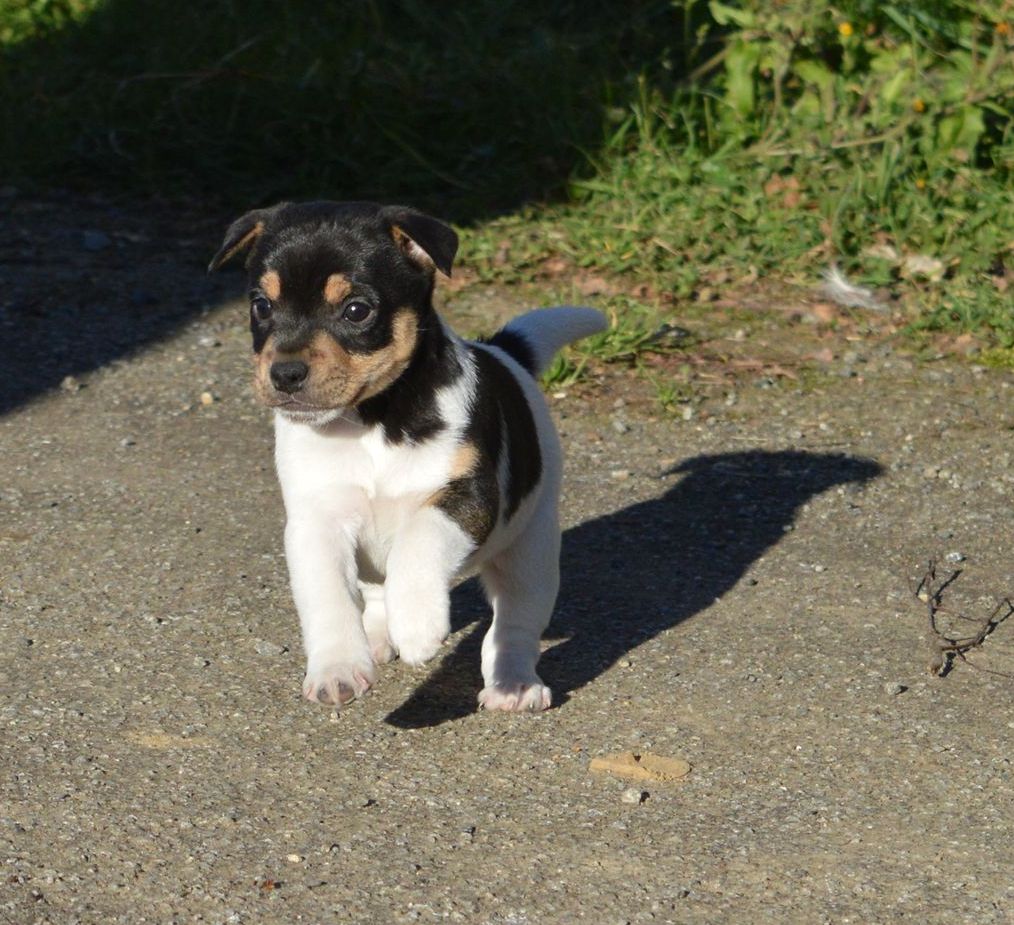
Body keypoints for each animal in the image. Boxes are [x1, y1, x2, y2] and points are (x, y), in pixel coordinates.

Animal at [206, 200, 600, 709]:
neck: (372, 419)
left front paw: (417, 624)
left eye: (356, 310)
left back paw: (513, 684)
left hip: (530, 548)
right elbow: (327, 598)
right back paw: (377, 637)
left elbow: (420, 537)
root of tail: (504, 352)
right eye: (261, 306)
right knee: (374, 594)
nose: (285, 374)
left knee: (513, 625)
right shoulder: (316, 521)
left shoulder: (467, 497)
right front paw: (338, 666)